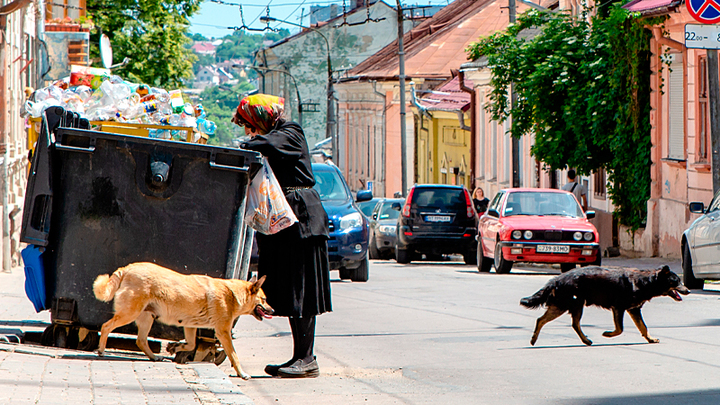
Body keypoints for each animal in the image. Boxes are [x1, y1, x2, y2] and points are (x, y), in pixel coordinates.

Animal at [94, 262, 274, 378]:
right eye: (264, 300)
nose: (273, 311)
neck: (232, 293)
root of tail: (127, 268)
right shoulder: (223, 333)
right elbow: (234, 356)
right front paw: (242, 373)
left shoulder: (190, 326)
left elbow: (191, 344)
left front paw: (176, 347)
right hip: (130, 313)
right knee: (106, 326)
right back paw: (101, 350)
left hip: (147, 317)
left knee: (141, 340)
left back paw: (154, 357)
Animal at [520, 266, 688, 344]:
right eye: (676, 281)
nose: (688, 290)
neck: (646, 282)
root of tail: (557, 279)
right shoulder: (619, 308)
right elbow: (620, 329)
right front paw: (608, 334)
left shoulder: (633, 309)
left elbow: (643, 327)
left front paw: (650, 339)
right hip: (572, 304)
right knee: (573, 324)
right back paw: (585, 340)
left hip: (562, 305)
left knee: (541, 320)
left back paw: (534, 338)